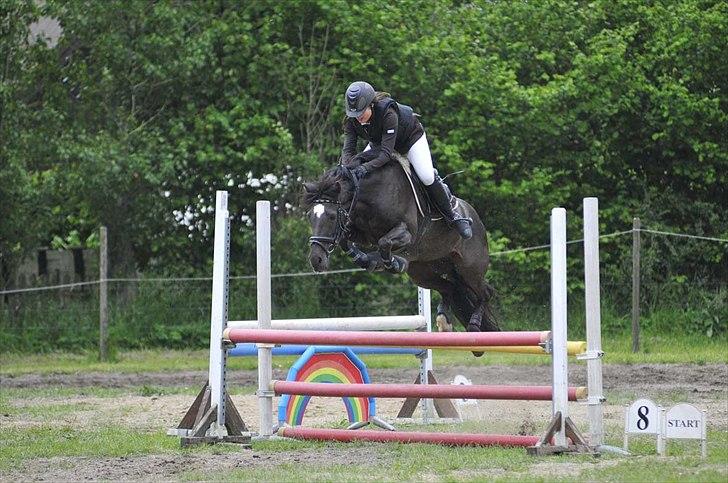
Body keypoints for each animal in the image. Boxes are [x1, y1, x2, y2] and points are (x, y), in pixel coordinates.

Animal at [298, 153, 498, 346]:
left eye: (332, 216)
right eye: (309, 216)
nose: (316, 260)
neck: (369, 195)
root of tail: (474, 217)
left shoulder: (406, 233)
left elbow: (384, 242)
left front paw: (392, 263)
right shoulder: (358, 231)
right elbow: (346, 241)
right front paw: (366, 259)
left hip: (469, 268)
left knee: (486, 292)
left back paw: (474, 325)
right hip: (423, 272)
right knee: (451, 287)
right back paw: (444, 322)